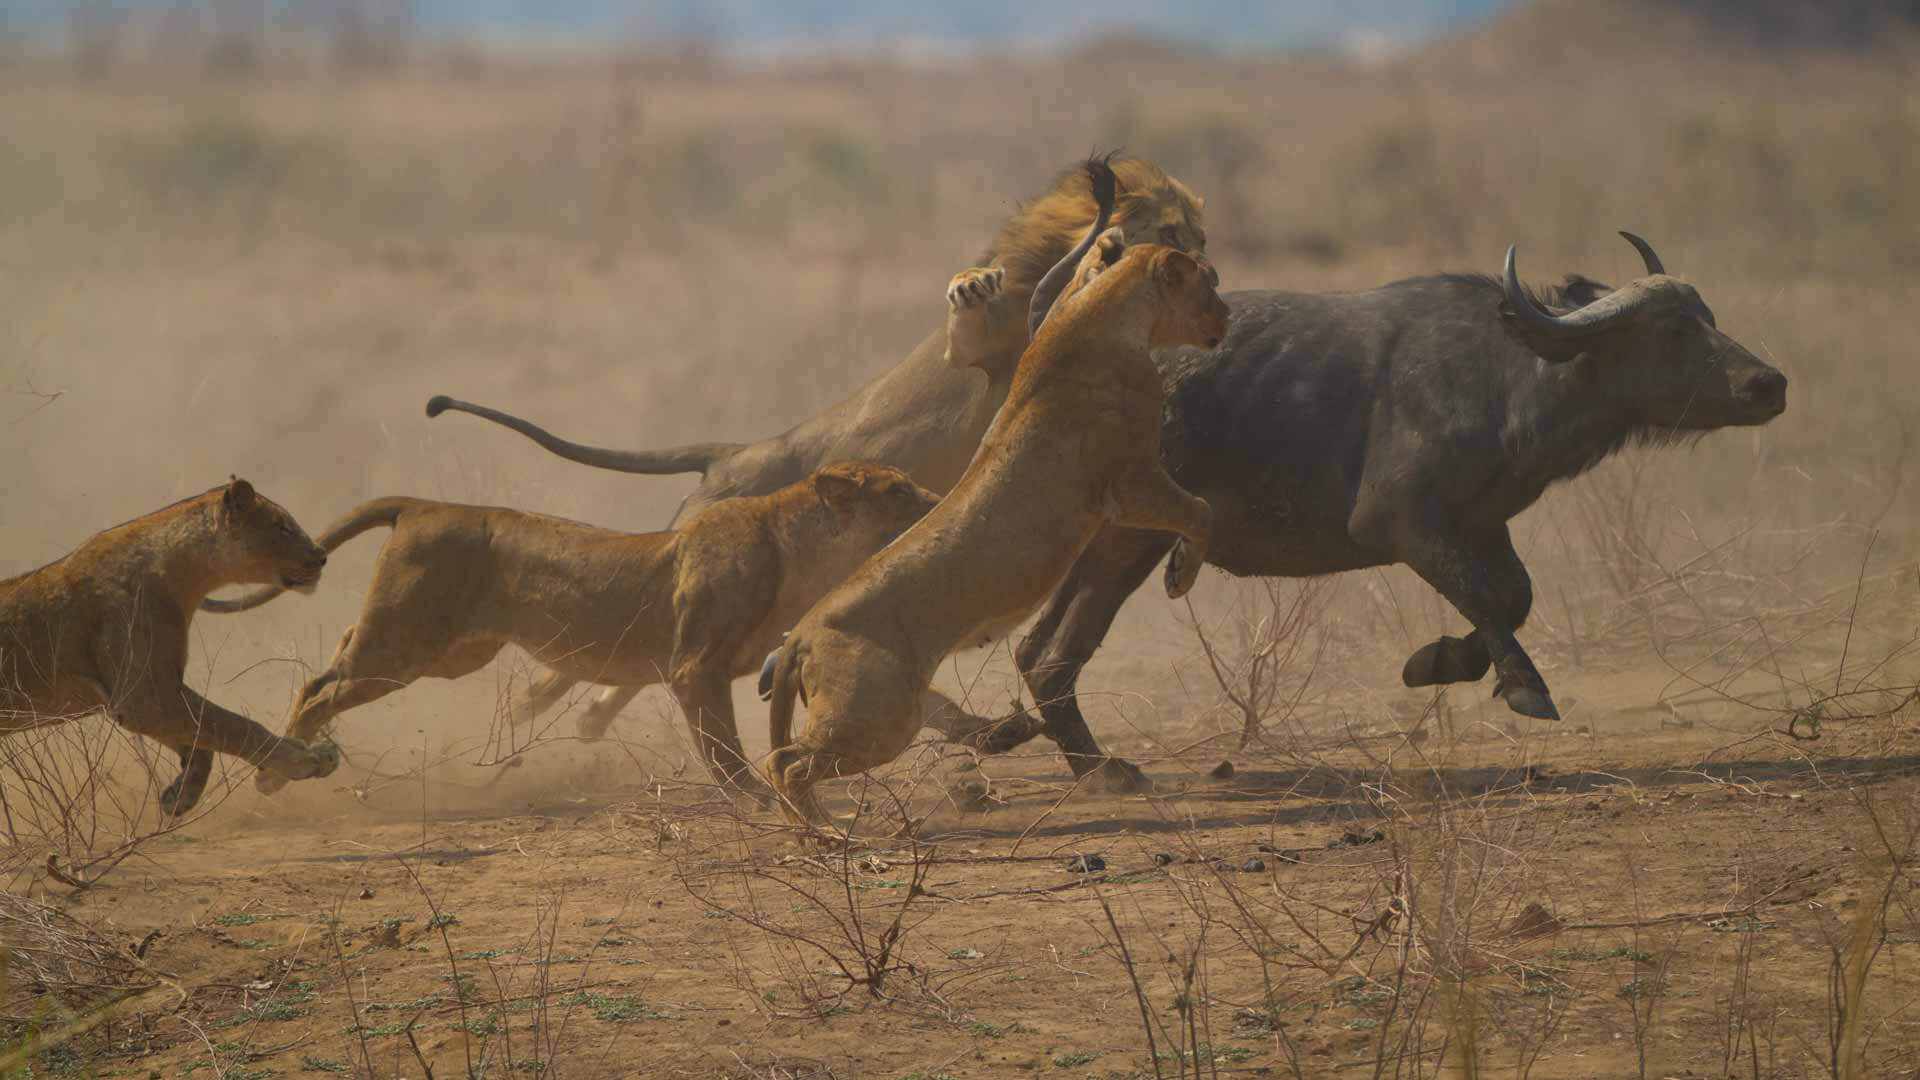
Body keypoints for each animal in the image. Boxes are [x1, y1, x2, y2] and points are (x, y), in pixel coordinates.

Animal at [0, 474, 341, 810]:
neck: (185, 575)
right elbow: (233, 725)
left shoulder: (149, 694)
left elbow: (202, 737)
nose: (322, 557)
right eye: (283, 527)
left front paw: (181, 794)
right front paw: (305, 759)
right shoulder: (144, 698)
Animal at [424, 155, 1198, 780]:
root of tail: (734, 452)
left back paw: (575, 714)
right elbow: (978, 317)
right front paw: (980, 281)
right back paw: (538, 705)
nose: (1204, 258)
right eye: (1175, 226)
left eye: (1196, 229)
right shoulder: (975, 354)